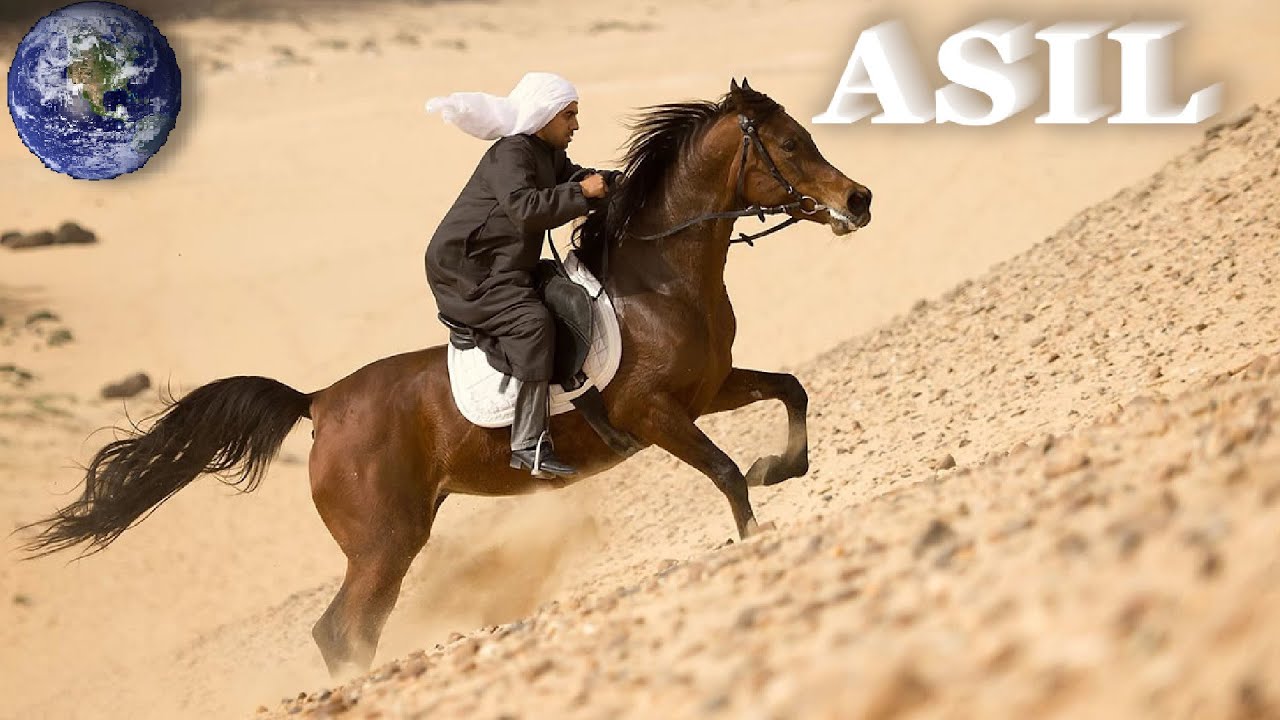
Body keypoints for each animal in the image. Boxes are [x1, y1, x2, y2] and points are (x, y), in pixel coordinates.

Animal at [21, 78, 873, 678]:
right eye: (790, 144)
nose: (858, 200)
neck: (657, 281)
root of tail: (319, 402)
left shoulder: (710, 390)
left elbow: (790, 391)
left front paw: (780, 467)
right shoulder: (655, 413)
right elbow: (725, 472)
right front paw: (756, 531)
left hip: (395, 538)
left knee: (350, 630)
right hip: (385, 541)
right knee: (340, 628)